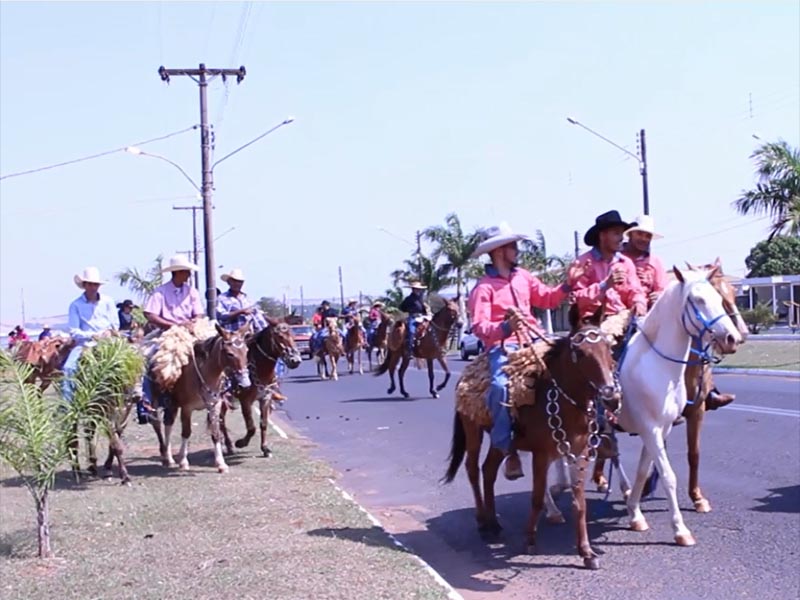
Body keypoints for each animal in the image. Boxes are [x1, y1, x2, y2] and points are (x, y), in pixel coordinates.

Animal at [150, 324, 250, 474]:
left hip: (173, 404)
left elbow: (216, 433)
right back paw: (168, 458)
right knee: (163, 425)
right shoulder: (186, 408)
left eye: (246, 351)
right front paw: (183, 462)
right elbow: (186, 432)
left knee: (168, 424)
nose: (245, 383)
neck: (206, 374)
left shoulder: (215, 406)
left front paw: (221, 464)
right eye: (229, 353)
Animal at [219, 322, 304, 458]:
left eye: (293, 335)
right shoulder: (245, 401)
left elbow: (263, 424)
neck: (260, 369)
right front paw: (241, 443)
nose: (295, 360)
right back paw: (228, 445)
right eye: (280, 336)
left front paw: (265, 448)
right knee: (220, 420)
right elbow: (251, 427)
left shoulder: (265, 398)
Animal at [444, 316, 620, 568]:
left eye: (609, 348)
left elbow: (579, 503)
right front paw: (529, 540)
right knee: (473, 469)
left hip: (499, 441)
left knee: (488, 470)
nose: (611, 396)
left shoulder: (581, 453)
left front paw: (586, 552)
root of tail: (465, 376)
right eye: (580, 352)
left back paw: (493, 523)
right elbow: (536, 498)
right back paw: (482, 523)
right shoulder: (542, 455)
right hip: (473, 430)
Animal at [620, 264, 744, 548]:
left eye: (719, 297)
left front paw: (635, 514)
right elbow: (668, 476)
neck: (656, 364)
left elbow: (644, 470)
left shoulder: (661, 428)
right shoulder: (650, 429)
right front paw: (680, 530)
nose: (732, 338)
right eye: (697, 299)